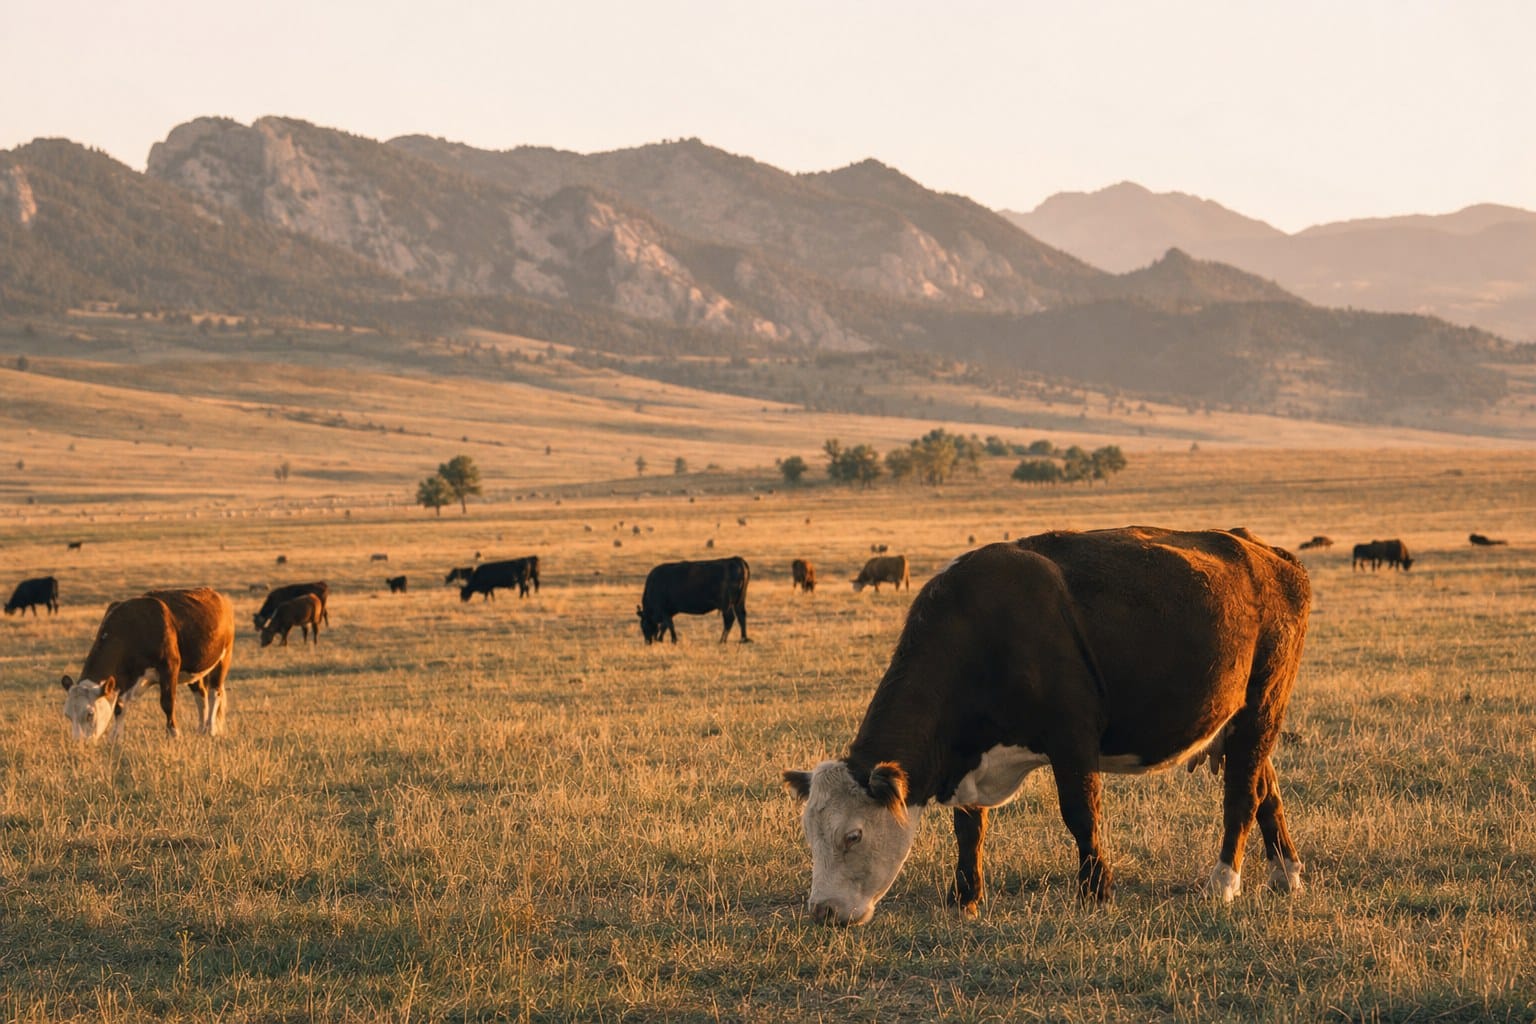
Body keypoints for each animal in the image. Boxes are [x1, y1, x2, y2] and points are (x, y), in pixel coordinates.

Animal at [60, 587, 234, 741]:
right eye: (67, 715)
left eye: (90, 714)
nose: (79, 743)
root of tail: (218, 595)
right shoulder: (123, 679)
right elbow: (119, 707)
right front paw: (115, 738)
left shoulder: (169, 667)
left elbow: (167, 702)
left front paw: (173, 734)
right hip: (194, 669)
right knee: (200, 695)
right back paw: (201, 729)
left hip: (223, 658)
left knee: (214, 693)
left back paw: (210, 729)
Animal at [784, 527, 1312, 927]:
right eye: (810, 836)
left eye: (853, 836)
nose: (823, 912)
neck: (983, 632)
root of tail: (1268, 552)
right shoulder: (974, 756)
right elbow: (968, 828)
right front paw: (965, 898)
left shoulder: (1072, 739)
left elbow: (1080, 814)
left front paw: (1095, 891)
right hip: (1237, 722)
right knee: (1265, 789)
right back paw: (1285, 873)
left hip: (1261, 708)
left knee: (1241, 795)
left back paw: (1223, 882)